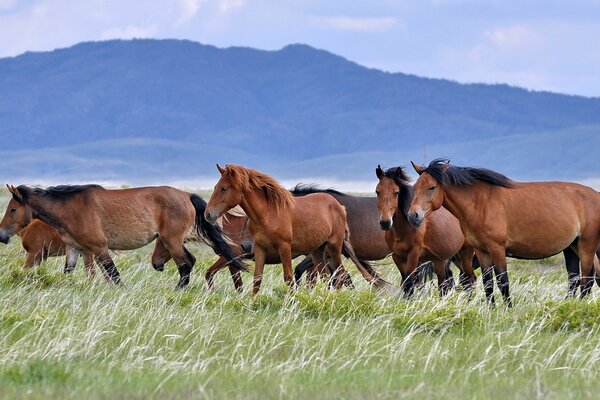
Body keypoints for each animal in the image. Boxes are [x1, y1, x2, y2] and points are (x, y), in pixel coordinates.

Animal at [5, 183, 245, 290]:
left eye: (13, 209)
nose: (2, 235)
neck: (72, 207)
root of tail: (186, 195)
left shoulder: (99, 247)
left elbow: (113, 274)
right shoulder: (75, 249)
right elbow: (70, 272)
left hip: (171, 240)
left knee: (186, 262)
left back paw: (179, 290)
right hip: (171, 241)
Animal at [203, 162, 390, 294]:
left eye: (224, 188)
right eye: (215, 187)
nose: (208, 214)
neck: (270, 214)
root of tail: (339, 206)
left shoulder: (283, 248)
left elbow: (289, 277)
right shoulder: (256, 250)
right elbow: (255, 279)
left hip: (333, 248)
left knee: (340, 275)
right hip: (319, 251)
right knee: (330, 276)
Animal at [376, 164, 474, 296]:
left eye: (396, 192)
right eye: (378, 191)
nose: (385, 223)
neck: (403, 230)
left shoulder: (413, 255)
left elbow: (409, 283)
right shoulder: (397, 256)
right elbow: (405, 281)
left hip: (465, 253)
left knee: (468, 279)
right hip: (441, 260)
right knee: (445, 282)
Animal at [408, 158, 600, 304]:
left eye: (432, 187)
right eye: (415, 187)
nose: (413, 216)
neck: (480, 203)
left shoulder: (497, 249)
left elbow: (503, 281)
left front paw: (508, 310)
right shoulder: (482, 251)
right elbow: (488, 284)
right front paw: (490, 310)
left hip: (586, 245)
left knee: (586, 279)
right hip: (572, 247)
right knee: (575, 280)